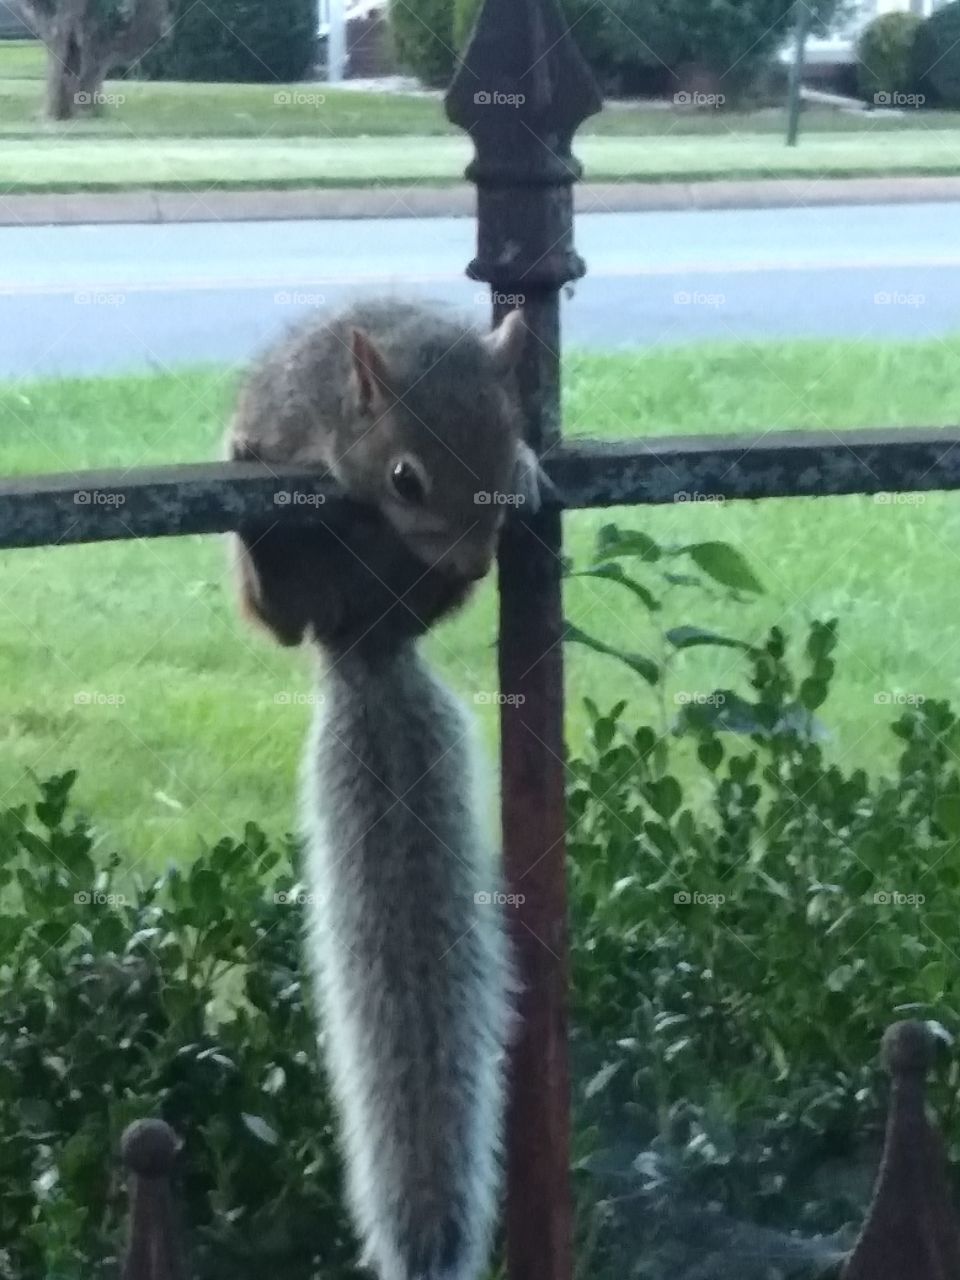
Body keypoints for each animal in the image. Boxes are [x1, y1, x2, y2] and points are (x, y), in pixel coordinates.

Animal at [226, 299, 543, 1280]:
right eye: (407, 478)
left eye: (507, 438)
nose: (475, 564)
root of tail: (361, 633)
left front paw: (532, 470)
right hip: (289, 595)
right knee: (278, 612)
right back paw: (259, 524)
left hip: (423, 594)